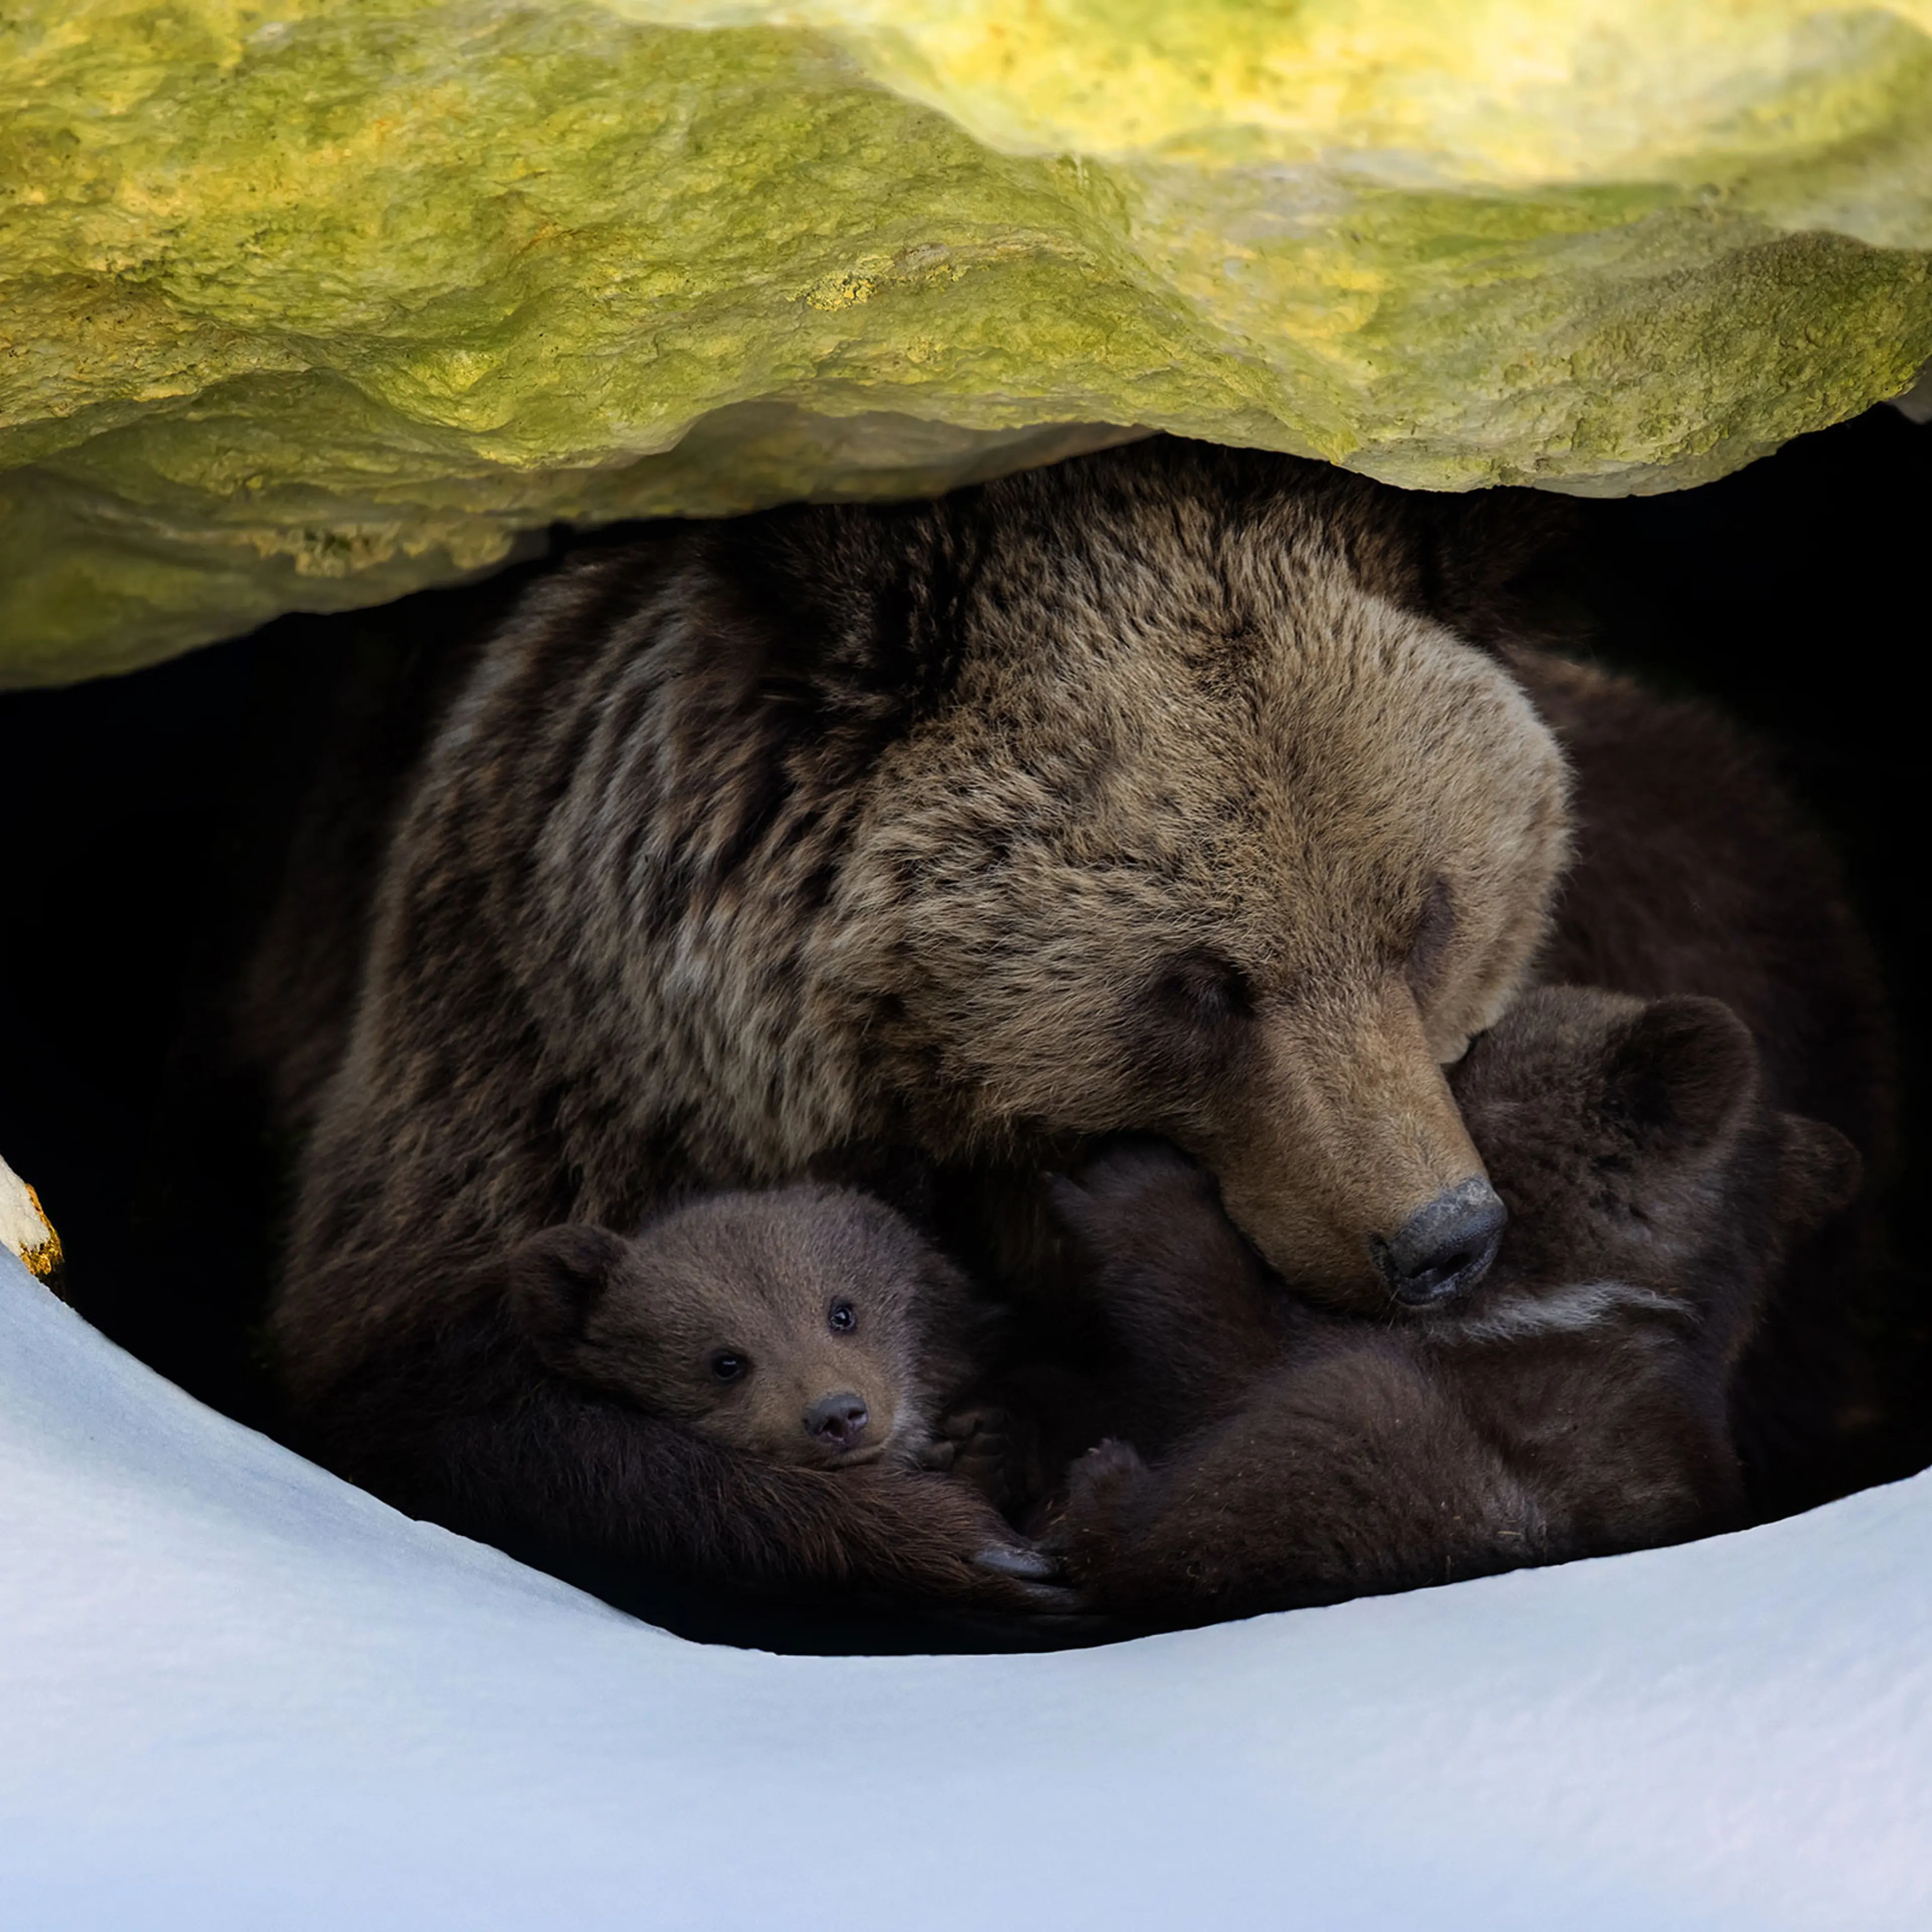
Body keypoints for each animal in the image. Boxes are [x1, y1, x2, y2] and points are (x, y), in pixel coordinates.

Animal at [266, 438, 1577, 1611]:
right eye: (1203, 982)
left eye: (1425, 919)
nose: (1439, 1238)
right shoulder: (543, 1059)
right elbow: (448, 1391)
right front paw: (961, 1536)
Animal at [1044, 987, 1862, 1630]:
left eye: (1476, 1041)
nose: (1431, 1061)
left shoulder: (1476, 1361)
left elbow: (1229, 1346)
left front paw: (1128, 1173)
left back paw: (1099, 1494)